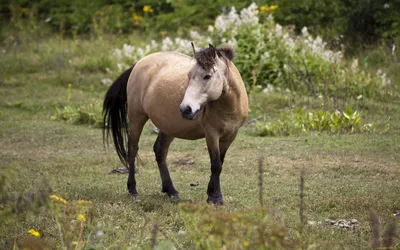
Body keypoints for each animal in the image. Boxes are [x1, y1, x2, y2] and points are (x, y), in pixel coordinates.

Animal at [103, 44, 247, 204]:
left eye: (207, 76)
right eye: (189, 76)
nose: (185, 109)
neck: (230, 106)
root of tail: (138, 63)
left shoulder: (230, 136)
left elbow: (219, 163)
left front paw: (211, 194)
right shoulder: (212, 134)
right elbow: (215, 165)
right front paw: (216, 198)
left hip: (168, 127)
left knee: (159, 150)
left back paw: (171, 191)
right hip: (137, 118)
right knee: (132, 149)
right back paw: (133, 190)